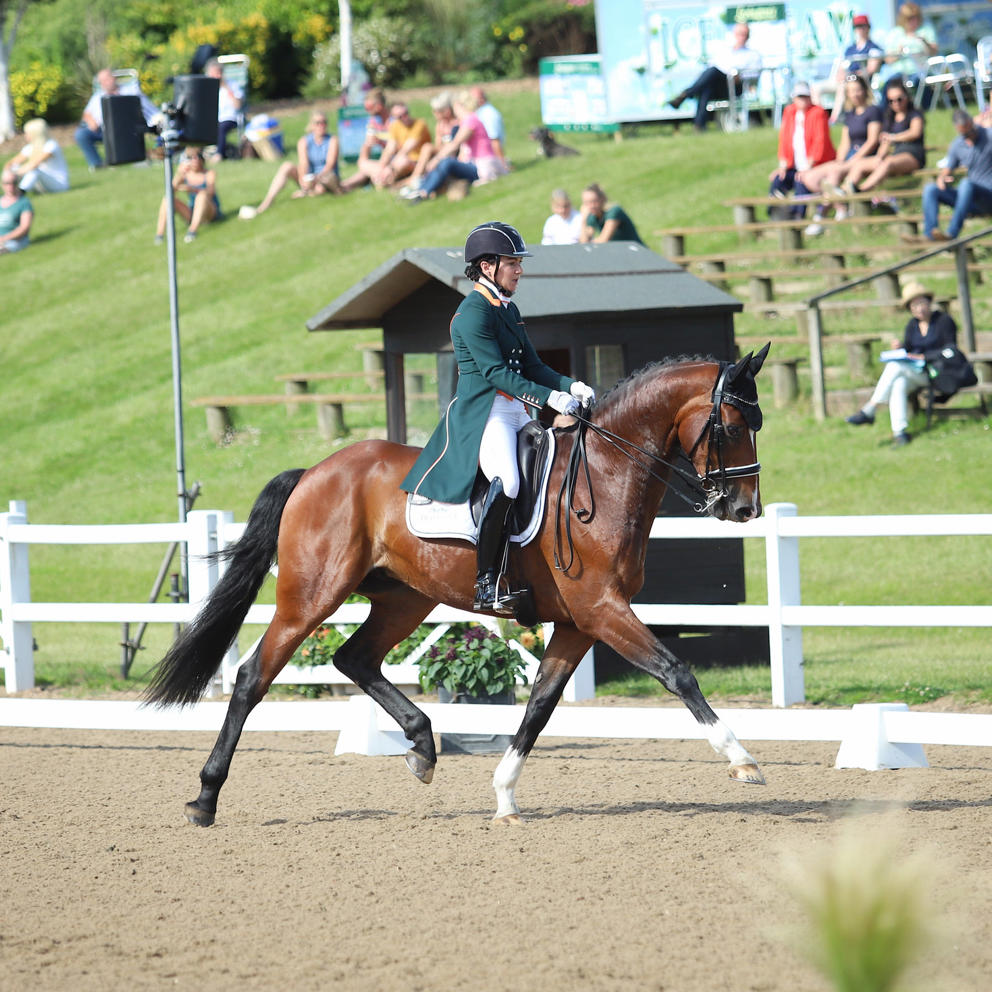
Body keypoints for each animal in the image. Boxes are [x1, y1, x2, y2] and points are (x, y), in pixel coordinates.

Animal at [145, 346, 771, 826]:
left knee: (355, 659)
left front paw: (504, 797)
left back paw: (422, 747)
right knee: (253, 677)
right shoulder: (602, 609)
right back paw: (205, 799)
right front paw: (742, 761)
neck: (607, 474)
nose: (744, 509)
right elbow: (676, 671)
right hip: (310, 597)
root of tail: (316, 471)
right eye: (732, 427)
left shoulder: (579, 623)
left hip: (405, 598)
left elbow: (540, 706)